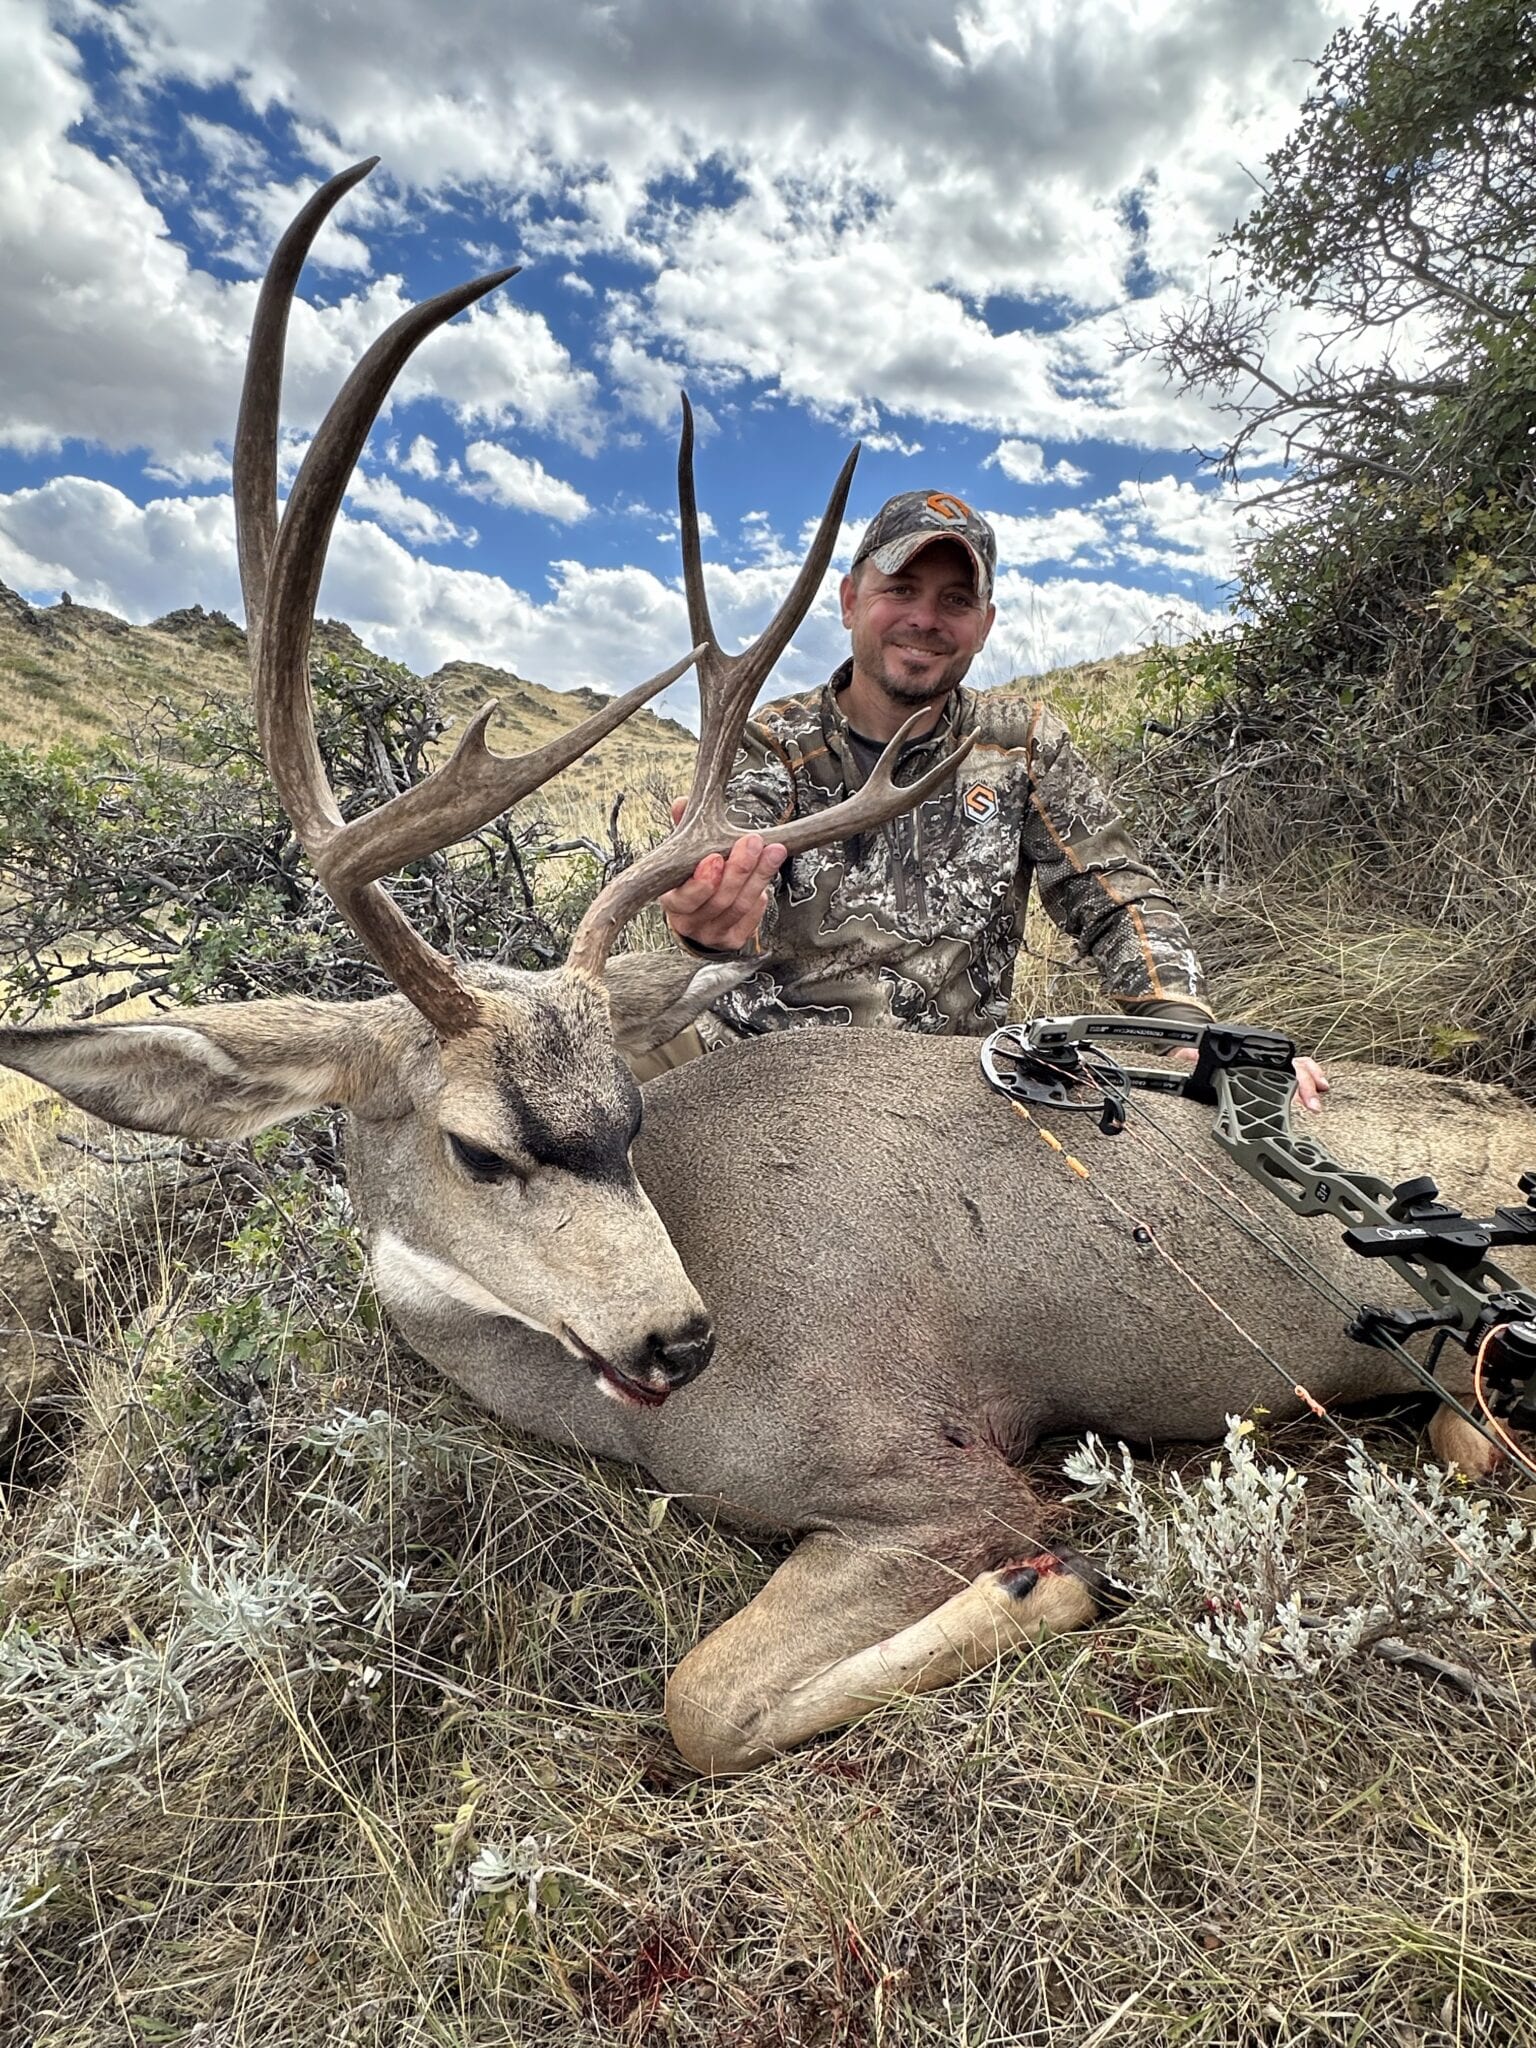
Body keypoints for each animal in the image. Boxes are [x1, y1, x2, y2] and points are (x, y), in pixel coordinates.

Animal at [3, 164, 1533, 1775]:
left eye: (624, 1121)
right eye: (482, 1149)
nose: (678, 1335)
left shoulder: (934, 1463)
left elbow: (702, 1699)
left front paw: (1060, 1584)